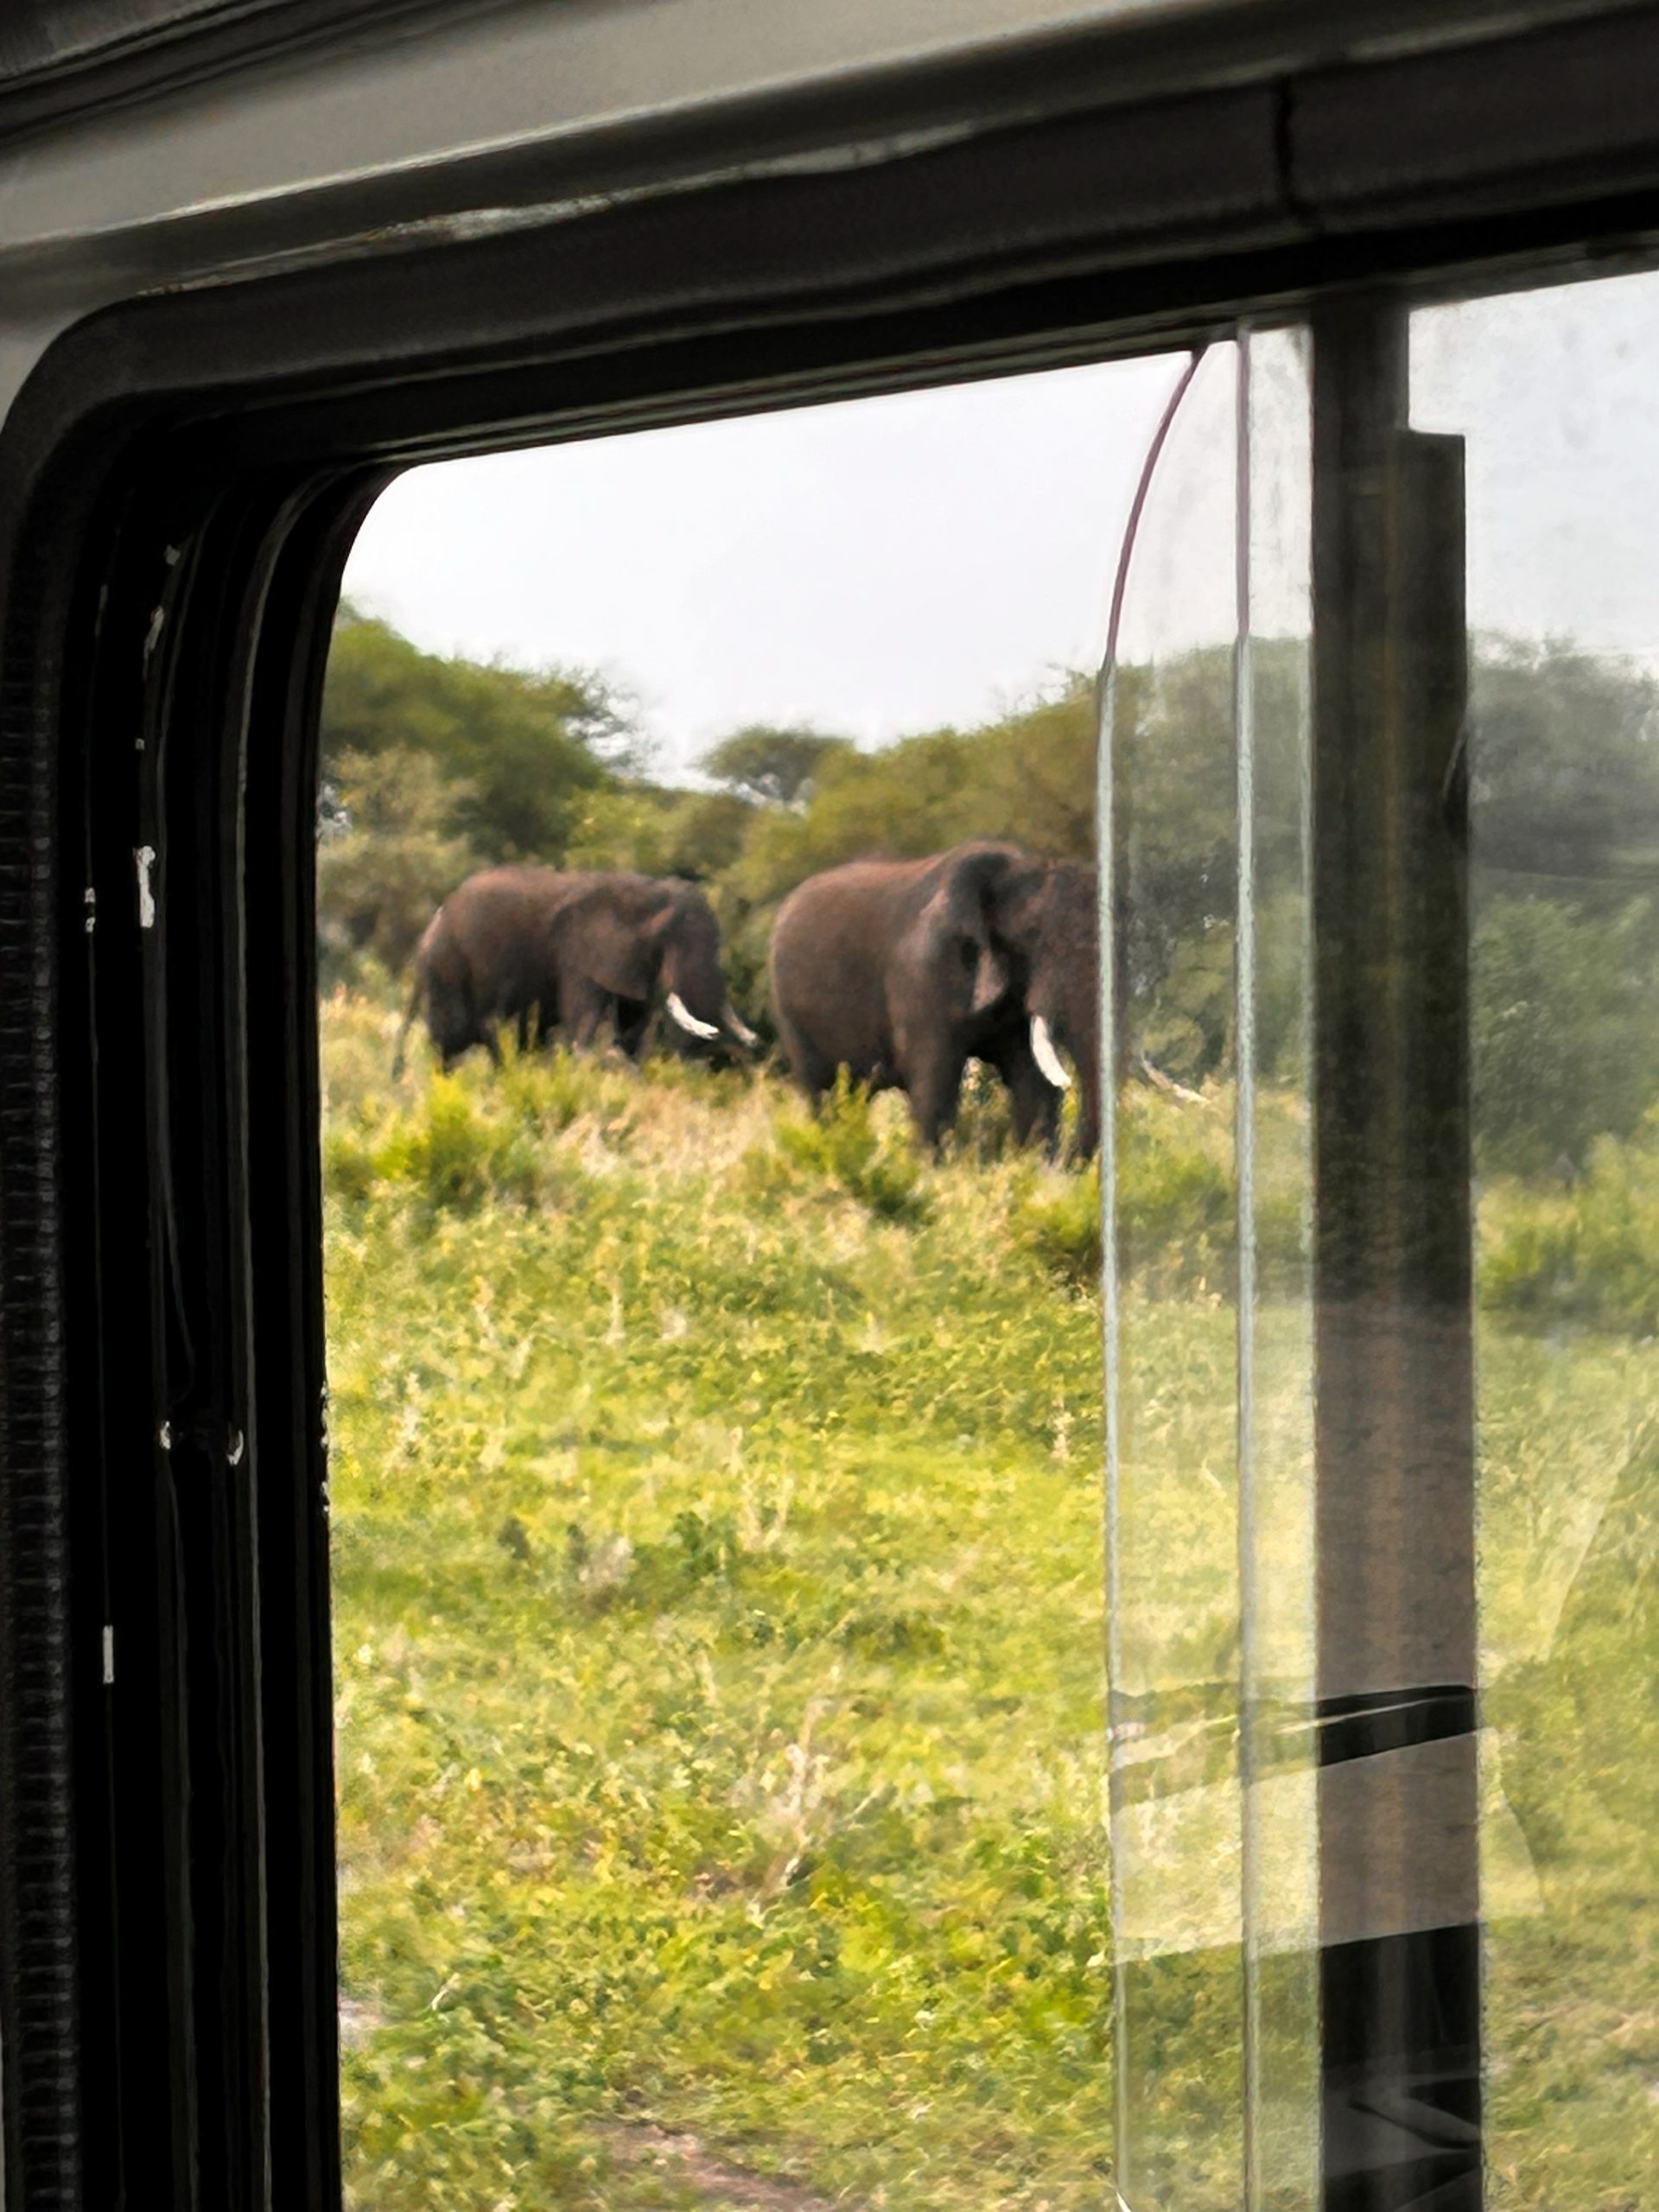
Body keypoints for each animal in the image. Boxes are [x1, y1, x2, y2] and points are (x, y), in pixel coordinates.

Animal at [392, 864, 756, 1076]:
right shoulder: (577, 953)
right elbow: (583, 1019)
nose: (754, 1042)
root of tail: (434, 920)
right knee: (453, 1037)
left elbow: (633, 1024)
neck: (647, 890)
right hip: (448, 964)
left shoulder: (629, 963)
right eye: (669, 939)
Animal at [767, 840, 1098, 1156]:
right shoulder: (924, 972)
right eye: (1031, 936)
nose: (1073, 1161)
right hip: (789, 1013)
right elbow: (935, 1081)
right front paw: (927, 1169)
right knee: (822, 1091)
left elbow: (1033, 1084)